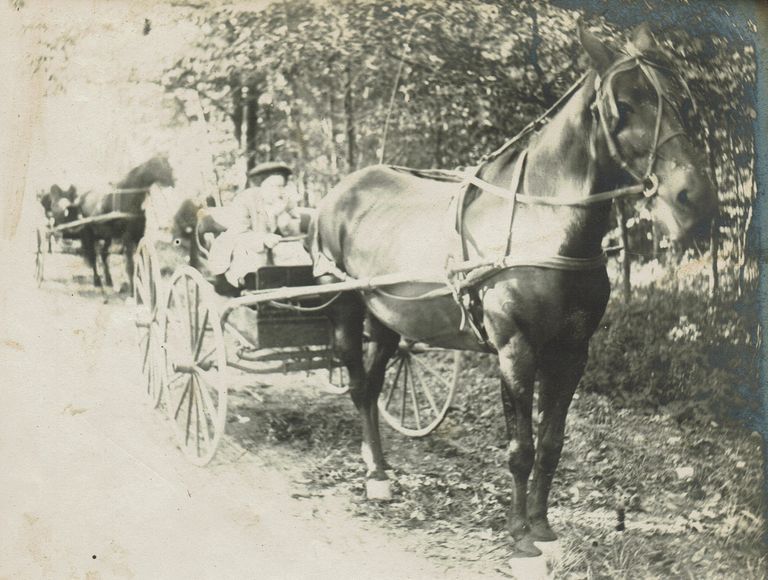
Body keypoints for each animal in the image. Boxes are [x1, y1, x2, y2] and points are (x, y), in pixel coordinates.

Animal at [76, 155, 174, 292]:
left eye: (168, 164)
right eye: (158, 164)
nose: (174, 180)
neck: (129, 199)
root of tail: (83, 196)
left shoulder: (139, 236)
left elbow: (141, 261)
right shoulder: (127, 237)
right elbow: (130, 266)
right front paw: (133, 290)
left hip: (107, 236)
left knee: (104, 254)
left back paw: (109, 281)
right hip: (88, 234)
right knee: (93, 256)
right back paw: (97, 281)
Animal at [310, 22, 717, 557]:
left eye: (679, 99)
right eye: (624, 105)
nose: (693, 198)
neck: (541, 224)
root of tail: (340, 191)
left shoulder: (572, 351)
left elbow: (552, 443)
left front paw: (542, 524)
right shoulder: (515, 348)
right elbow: (520, 447)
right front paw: (519, 534)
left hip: (388, 321)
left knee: (376, 383)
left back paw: (380, 469)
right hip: (345, 308)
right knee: (359, 386)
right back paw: (374, 475)